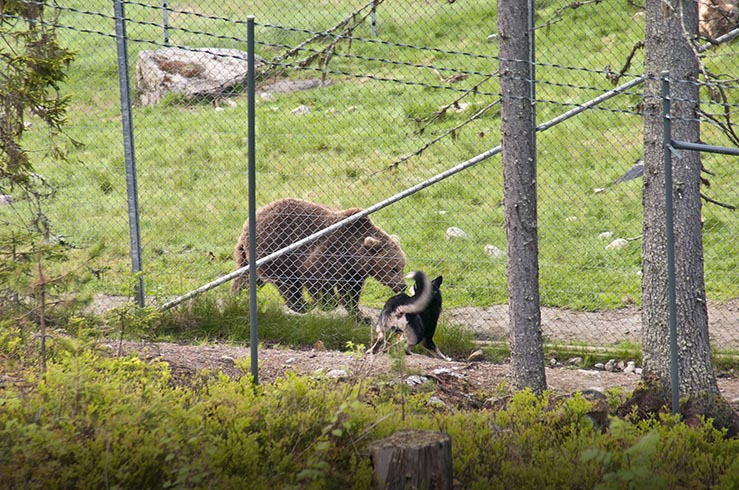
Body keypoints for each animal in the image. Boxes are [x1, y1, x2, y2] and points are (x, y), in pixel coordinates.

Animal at [233, 199, 408, 322]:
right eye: (394, 268)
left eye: (402, 267)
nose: (403, 285)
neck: (354, 253)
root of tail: (248, 223)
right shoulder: (331, 249)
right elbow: (317, 276)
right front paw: (328, 302)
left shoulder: (354, 270)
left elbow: (350, 291)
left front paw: (362, 316)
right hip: (275, 248)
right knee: (287, 282)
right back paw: (304, 305)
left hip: (248, 258)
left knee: (245, 279)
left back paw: (237, 298)